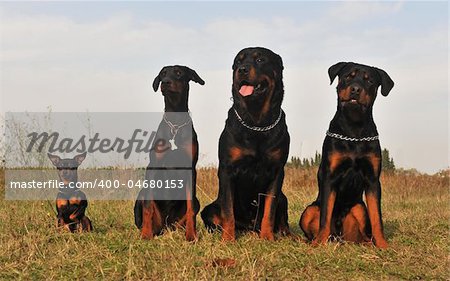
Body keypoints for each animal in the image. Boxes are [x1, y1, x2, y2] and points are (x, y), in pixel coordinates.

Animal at [134, 65, 204, 241]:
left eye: (179, 73)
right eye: (163, 74)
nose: (165, 82)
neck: (175, 122)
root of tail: (165, 226)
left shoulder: (190, 169)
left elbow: (190, 208)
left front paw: (191, 236)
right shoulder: (153, 166)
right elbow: (148, 206)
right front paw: (145, 235)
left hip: (192, 206)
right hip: (142, 195)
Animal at [201, 47, 292, 240]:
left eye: (260, 59)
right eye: (238, 62)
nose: (241, 70)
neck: (257, 122)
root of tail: (250, 227)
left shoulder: (277, 171)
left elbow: (270, 209)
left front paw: (267, 237)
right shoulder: (227, 169)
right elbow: (228, 211)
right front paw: (228, 239)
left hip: (284, 198)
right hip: (209, 208)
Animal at [300, 60, 392, 247]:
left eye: (370, 81)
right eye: (348, 76)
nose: (356, 89)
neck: (354, 129)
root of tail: (338, 237)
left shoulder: (373, 180)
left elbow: (377, 218)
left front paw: (383, 245)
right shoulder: (330, 177)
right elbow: (325, 216)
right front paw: (319, 243)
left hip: (359, 208)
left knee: (364, 232)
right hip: (309, 210)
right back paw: (314, 240)